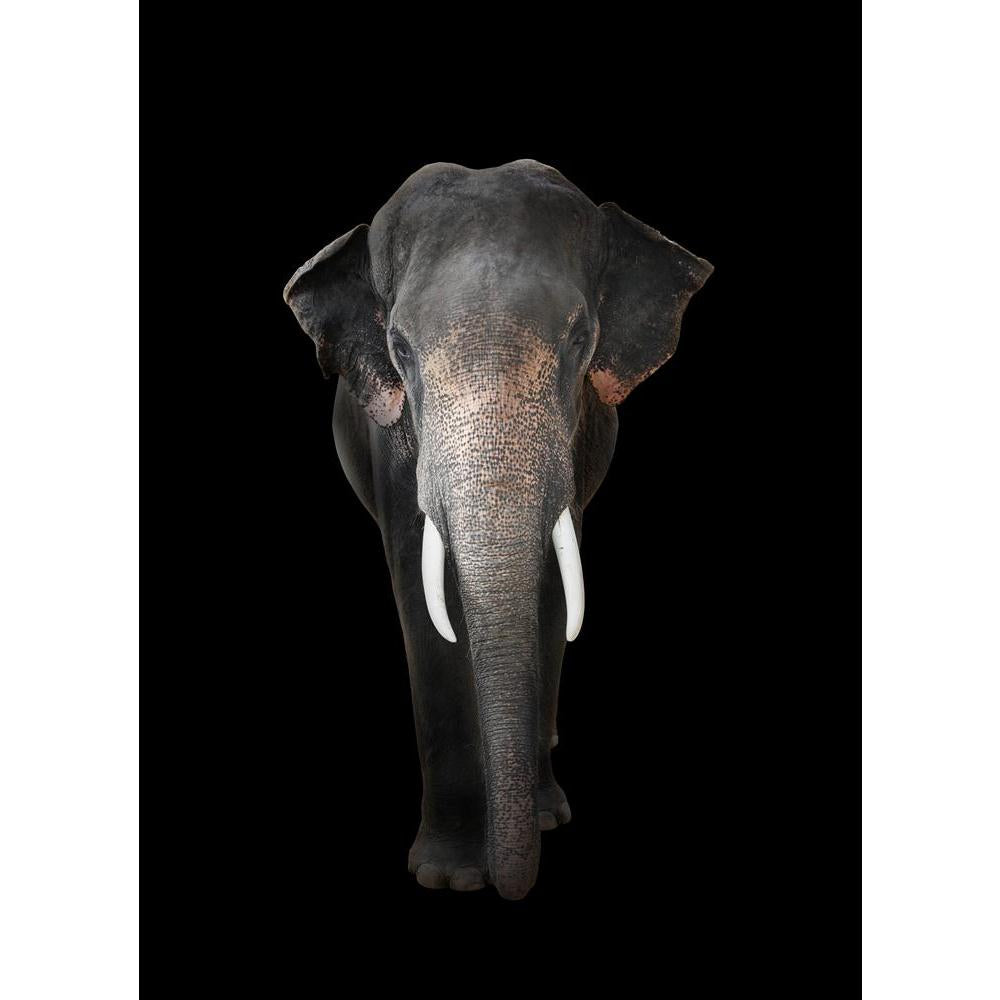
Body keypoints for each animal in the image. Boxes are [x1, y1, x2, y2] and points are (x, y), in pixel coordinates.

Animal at [283, 160, 712, 899]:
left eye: (579, 340)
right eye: (399, 348)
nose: (513, 889)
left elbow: (551, 594)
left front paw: (537, 823)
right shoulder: (394, 440)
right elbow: (419, 594)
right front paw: (452, 876)